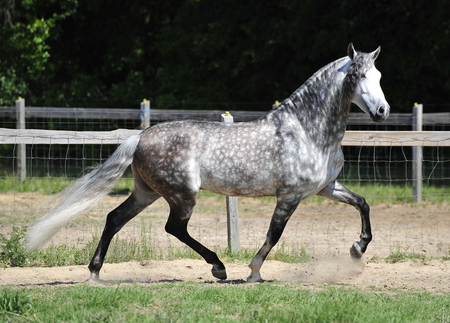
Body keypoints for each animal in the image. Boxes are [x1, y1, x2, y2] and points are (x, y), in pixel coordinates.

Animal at [26, 43, 388, 284]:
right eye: (359, 75)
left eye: (379, 75)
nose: (382, 111)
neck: (307, 130)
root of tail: (140, 137)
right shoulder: (290, 196)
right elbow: (273, 235)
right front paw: (254, 272)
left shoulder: (326, 188)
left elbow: (363, 204)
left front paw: (358, 249)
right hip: (182, 194)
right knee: (174, 228)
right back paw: (219, 267)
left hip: (147, 193)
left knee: (114, 219)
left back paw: (95, 272)